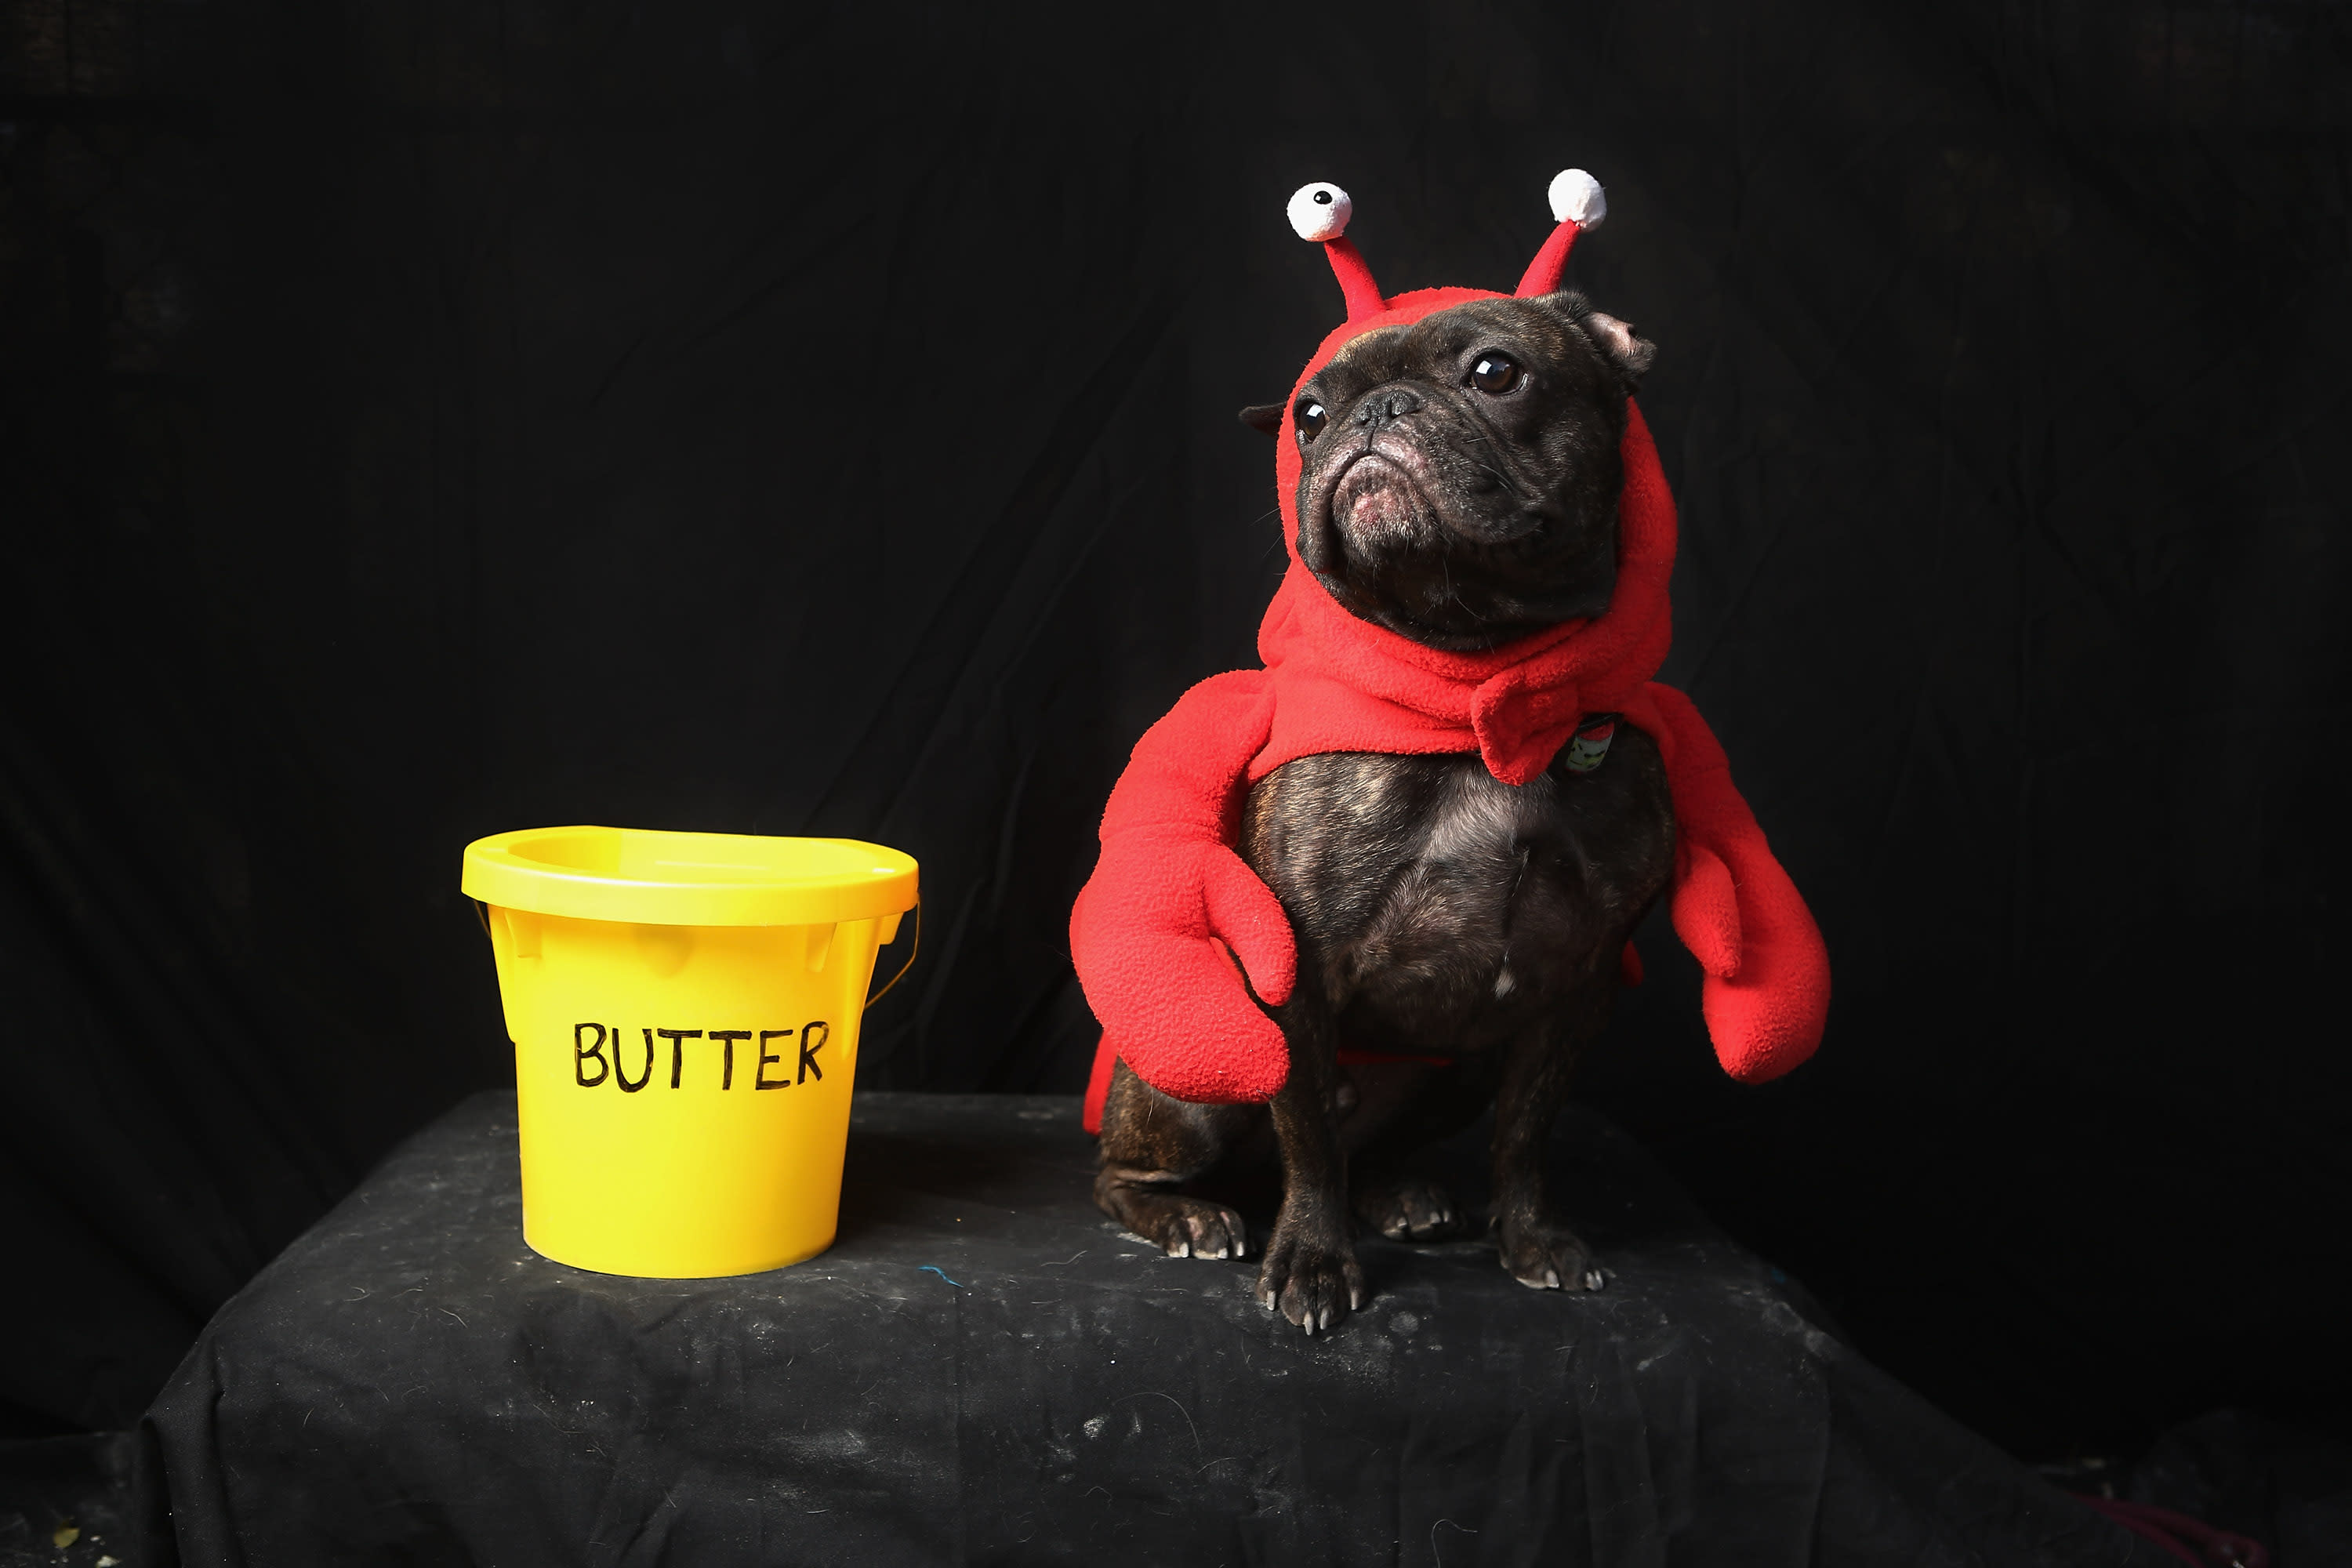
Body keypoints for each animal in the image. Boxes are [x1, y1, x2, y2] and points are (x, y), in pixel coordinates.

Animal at [1087, 288, 1675, 1335]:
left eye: (1495, 371)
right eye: (1309, 415)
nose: (1373, 412)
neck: (1473, 671)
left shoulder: (1577, 985)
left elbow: (1527, 1133)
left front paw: (1534, 1236)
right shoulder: (1293, 974)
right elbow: (1311, 1135)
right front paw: (1314, 1262)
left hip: (1460, 1066)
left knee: (1381, 1146)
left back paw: (1400, 1192)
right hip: (1193, 1072)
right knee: (1131, 1170)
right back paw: (1188, 1213)